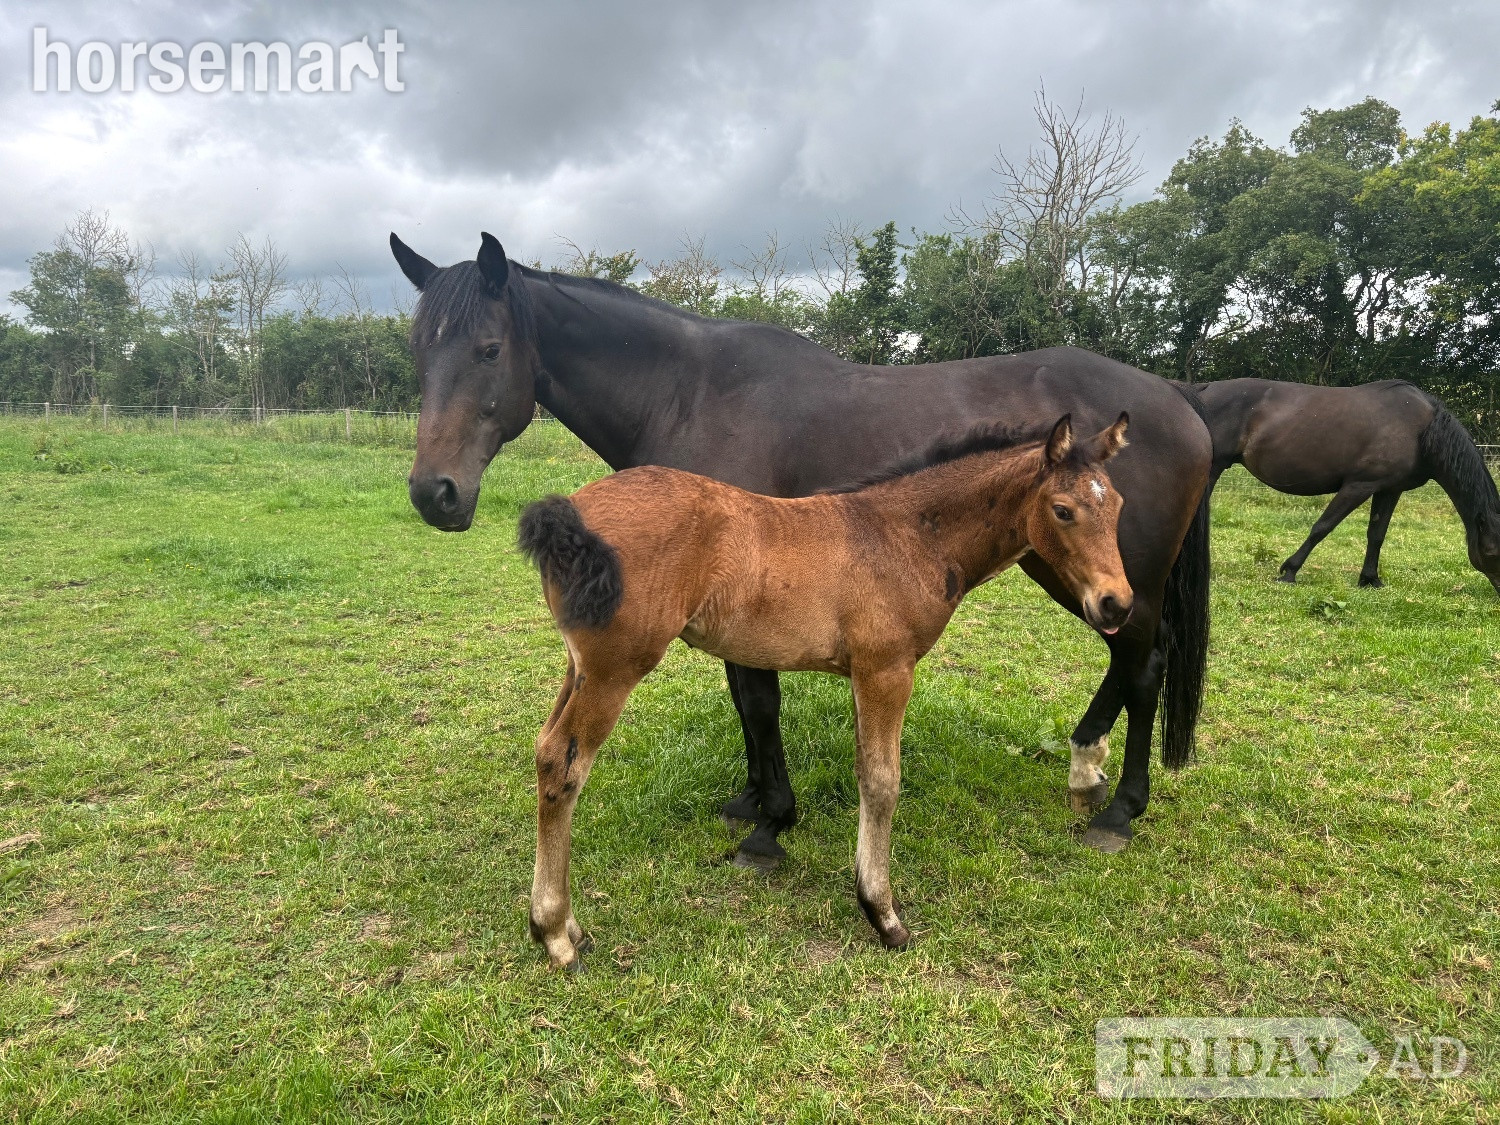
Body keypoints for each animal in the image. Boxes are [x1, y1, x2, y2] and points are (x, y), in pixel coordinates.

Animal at [389, 231, 1212, 858]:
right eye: (418, 354)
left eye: (488, 349)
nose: (435, 493)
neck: (690, 392)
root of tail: (1178, 400)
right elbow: (744, 694)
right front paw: (753, 798)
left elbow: (758, 699)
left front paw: (773, 821)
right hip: (1082, 576)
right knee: (1128, 662)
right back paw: (1087, 769)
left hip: (1117, 581)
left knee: (1144, 666)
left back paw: (1118, 809)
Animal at [520, 414, 1133, 969]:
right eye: (1063, 510)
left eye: (1120, 507)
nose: (1117, 604)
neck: (907, 536)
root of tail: (568, 513)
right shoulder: (887, 670)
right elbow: (883, 782)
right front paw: (884, 915)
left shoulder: (863, 675)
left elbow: (866, 773)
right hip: (615, 669)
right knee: (564, 765)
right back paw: (555, 935)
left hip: (580, 666)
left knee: (545, 749)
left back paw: (569, 929)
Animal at [1195, 379, 1500, 592]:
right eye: (1492, 552)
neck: (1421, 430)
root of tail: (1202, 391)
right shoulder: (1359, 486)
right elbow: (1322, 527)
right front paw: (1290, 571)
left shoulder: (1389, 490)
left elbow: (1376, 534)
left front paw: (1370, 579)